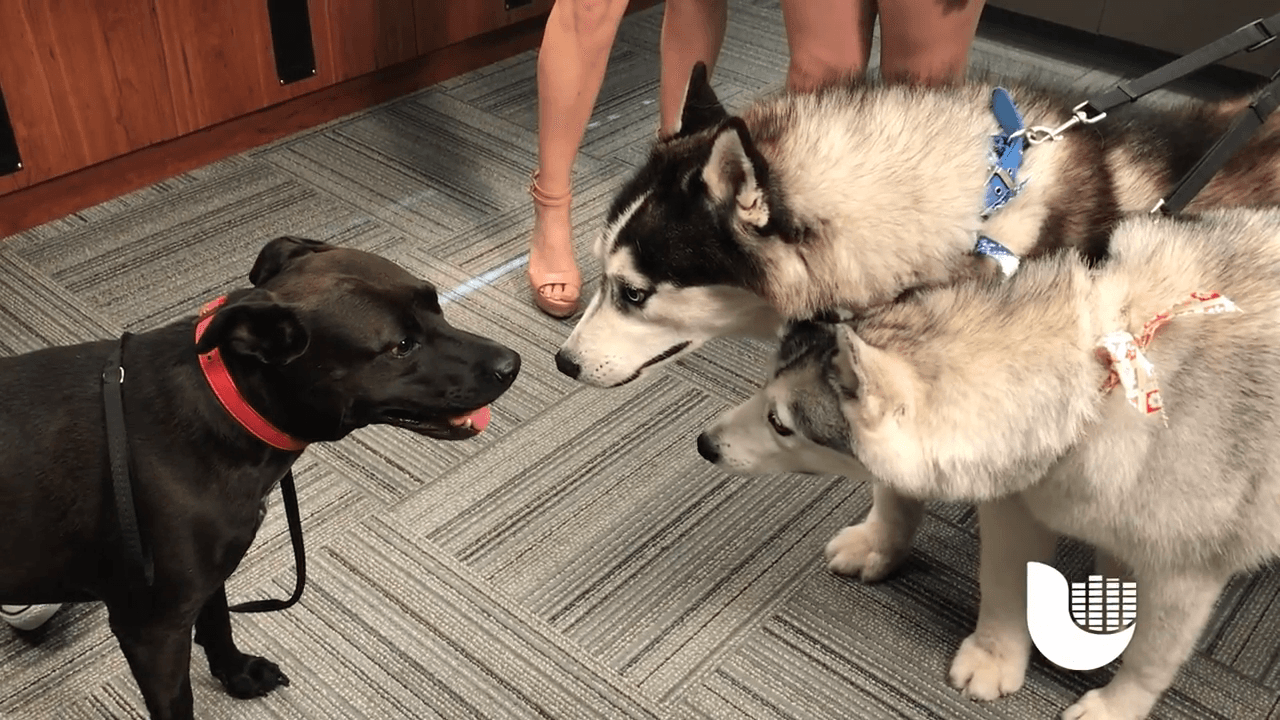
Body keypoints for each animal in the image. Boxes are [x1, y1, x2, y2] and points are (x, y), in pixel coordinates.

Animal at [0, 236, 520, 720]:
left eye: (435, 303)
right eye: (401, 347)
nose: (512, 364)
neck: (227, 404)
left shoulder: (206, 580)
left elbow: (217, 623)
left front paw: (237, 675)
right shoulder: (151, 630)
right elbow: (178, 700)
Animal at [699, 207, 1280, 719]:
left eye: (780, 424)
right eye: (764, 388)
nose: (704, 444)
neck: (1100, 376)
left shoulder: (1184, 573)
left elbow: (1148, 657)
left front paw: (1117, 706)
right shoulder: (1016, 501)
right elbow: (1003, 583)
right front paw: (997, 655)